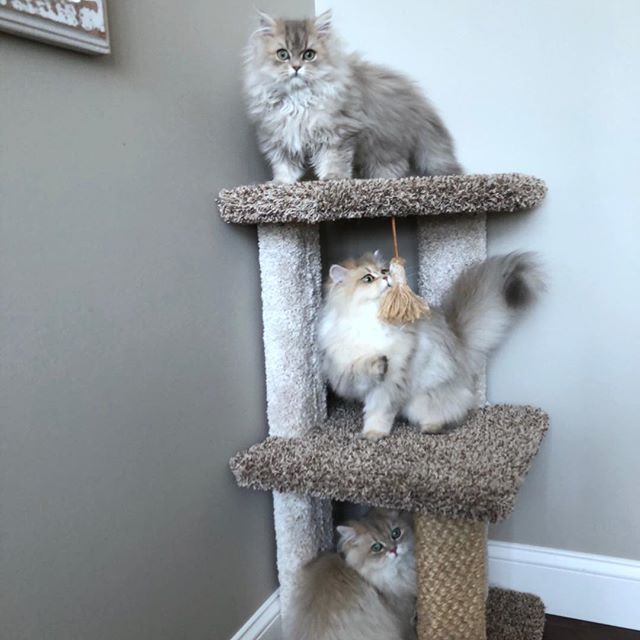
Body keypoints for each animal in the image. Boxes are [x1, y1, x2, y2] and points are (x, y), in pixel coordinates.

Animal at [318, 250, 544, 440]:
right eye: (367, 278)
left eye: (383, 271)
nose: (386, 278)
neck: (371, 321)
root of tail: (457, 340)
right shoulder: (345, 375)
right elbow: (361, 367)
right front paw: (378, 363)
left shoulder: (391, 383)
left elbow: (379, 411)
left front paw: (374, 433)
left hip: (423, 400)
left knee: (450, 412)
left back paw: (431, 428)